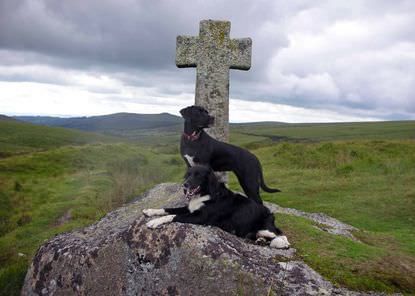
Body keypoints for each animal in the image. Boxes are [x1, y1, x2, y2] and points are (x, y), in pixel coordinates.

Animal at [143, 165, 290, 249]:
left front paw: (154, 222)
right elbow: (168, 209)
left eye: (198, 175)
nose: (185, 185)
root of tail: (270, 213)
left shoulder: (200, 217)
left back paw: (281, 244)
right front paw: (150, 211)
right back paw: (260, 240)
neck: (207, 193)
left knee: (280, 235)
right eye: (188, 174)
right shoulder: (190, 208)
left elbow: (173, 215)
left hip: (267, 228)